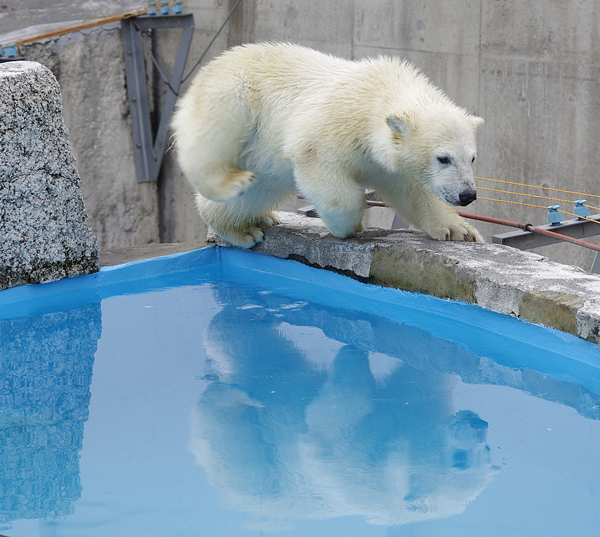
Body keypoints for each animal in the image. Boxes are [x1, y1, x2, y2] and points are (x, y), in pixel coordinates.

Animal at [172, 42, 482, 247]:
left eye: (472, 158)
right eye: (443, 158)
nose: (467, 195)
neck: (376, 93)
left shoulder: (388, 162)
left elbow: (414, 192)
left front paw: (460, 230)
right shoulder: (334, 126)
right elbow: (321, 169)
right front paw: (351, 226)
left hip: (264, 160)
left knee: (261, 188)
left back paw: (251, 224)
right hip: (237, 94)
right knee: (213, 137)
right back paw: (234, 196)